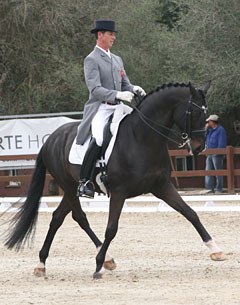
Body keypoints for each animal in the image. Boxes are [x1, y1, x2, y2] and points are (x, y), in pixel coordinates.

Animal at [3, 81, 226, 278]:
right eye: (195, 113)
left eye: (206, 113)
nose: (199, 147)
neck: (142, 138)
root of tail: (51, 139)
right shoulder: (119, 192)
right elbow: (111, 229)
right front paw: (97, 266)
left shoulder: (162, 186)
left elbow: (191, 213)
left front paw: (215, 249)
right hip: (68, 185)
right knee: (80, 217)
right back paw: (103, 259)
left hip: (71, 187)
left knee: (58, 217)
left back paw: (42, 264)